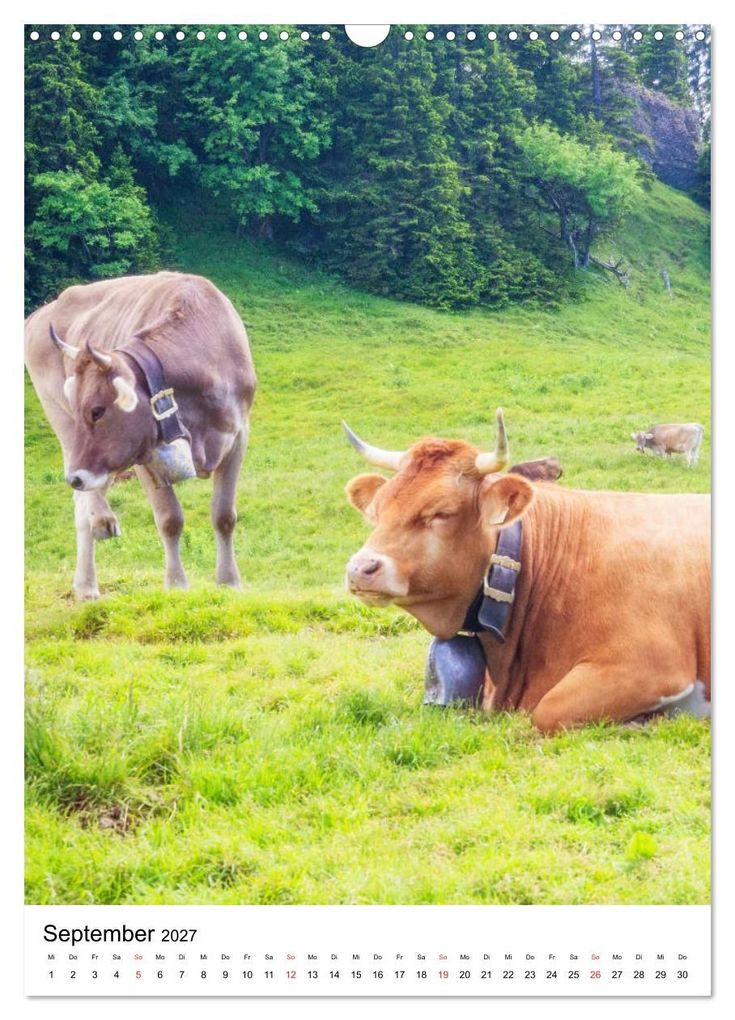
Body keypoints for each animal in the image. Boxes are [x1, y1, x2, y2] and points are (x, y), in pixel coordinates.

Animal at [24, 272, 256, 599]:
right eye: (82, 409)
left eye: (97, 411)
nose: (75, 478)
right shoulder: (143, 454)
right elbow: (169, 519)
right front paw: (175, 584)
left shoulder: (237, 436)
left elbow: (224, 515)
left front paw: (229, 582)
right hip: (62, 423)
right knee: (84, 505)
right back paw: (96, 543)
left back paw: (87, 582)